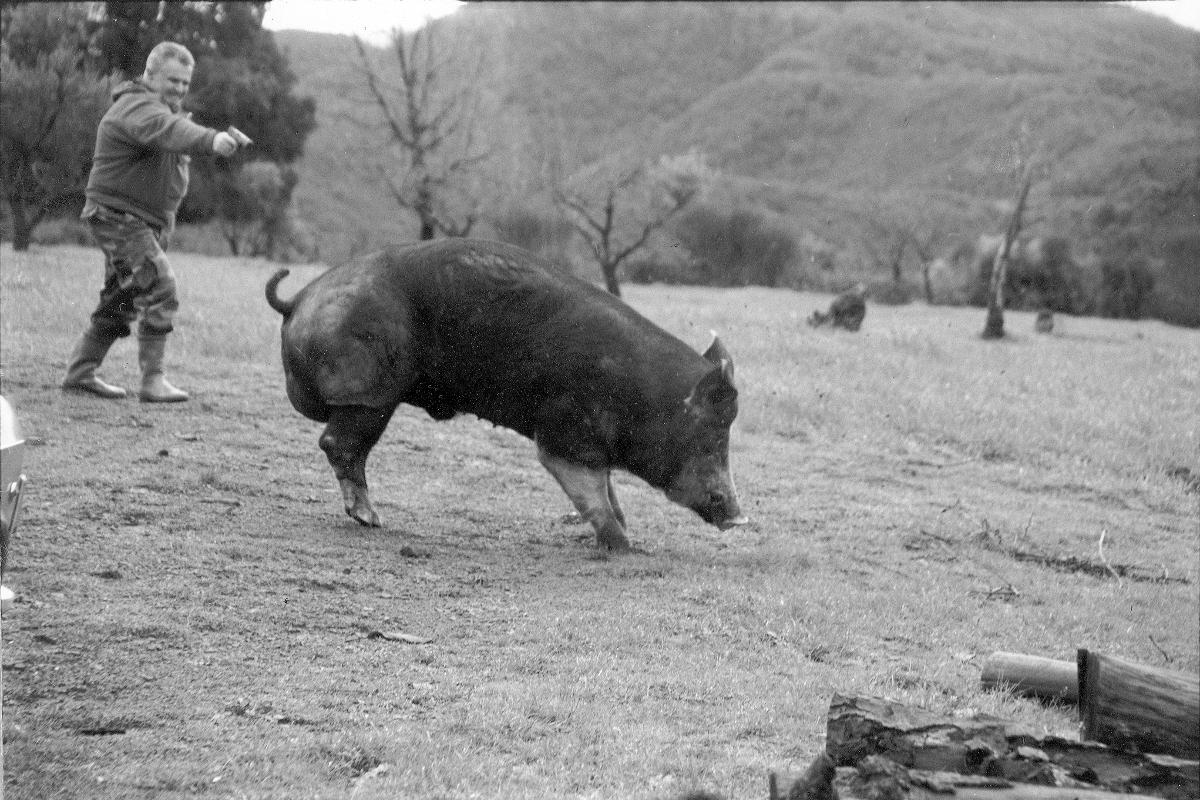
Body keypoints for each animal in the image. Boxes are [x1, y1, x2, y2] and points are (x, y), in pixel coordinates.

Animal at [267, 237, 744, 551]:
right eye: (709, 436)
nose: (739, 516)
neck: (641, 396)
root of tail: (298, 300)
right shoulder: (565, 431)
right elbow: (589, 489)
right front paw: (625, 547)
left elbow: (609, 488)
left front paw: (628, 534)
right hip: (368, 391)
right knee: (338, 442)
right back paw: (372, 520)